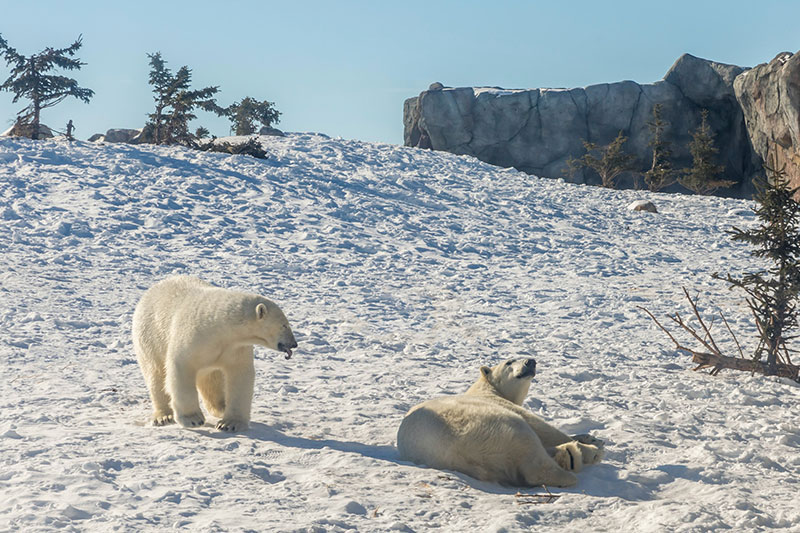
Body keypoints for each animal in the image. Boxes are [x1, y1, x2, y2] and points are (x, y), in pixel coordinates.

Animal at [132, 275, 297, 432]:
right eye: (284, 325)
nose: (294, 344)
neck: (219, 327)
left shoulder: (235, 347)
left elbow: (240, 374)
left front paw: (230, 424)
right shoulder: (193, 337)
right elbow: (181, 368)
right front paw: (193, 419)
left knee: (212, 379)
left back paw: (221, 407)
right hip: (150, 337)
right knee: (156, 375)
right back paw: (164, 416)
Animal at [396, 358, 604, 487]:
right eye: (509, 362)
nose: (530, 361)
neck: (485, 388)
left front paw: (587, 437)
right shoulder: (499, 404)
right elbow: (542, 427)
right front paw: (593, 444)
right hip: (490, 425)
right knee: (531, 450)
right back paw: (574, 459)